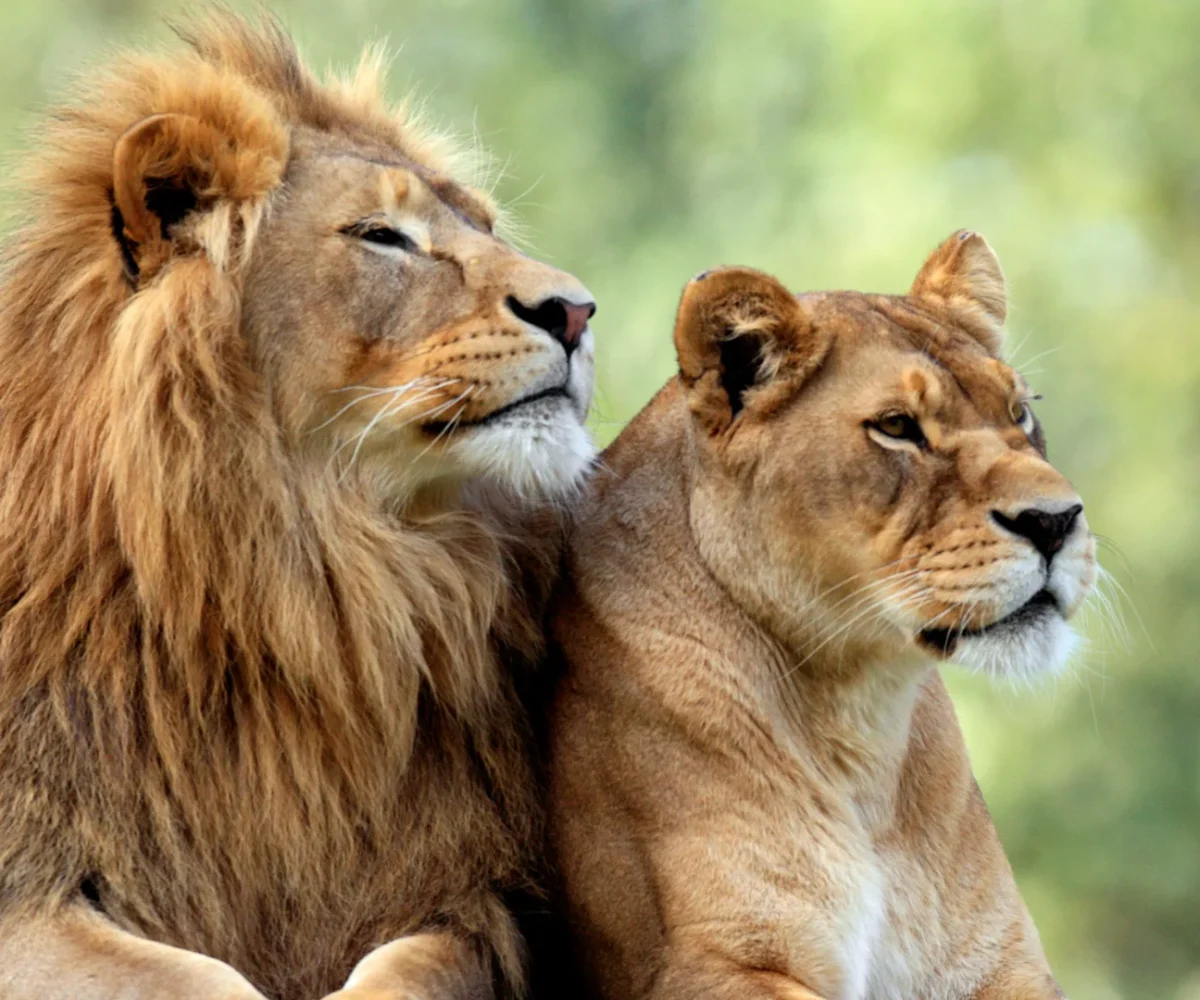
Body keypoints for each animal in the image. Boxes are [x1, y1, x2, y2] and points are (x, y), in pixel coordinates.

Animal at [0, 14, 596, 1000]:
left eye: (484, 225)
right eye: (381, 236)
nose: (579, 311)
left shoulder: (472, 900)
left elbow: (408, 970)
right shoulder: (27, 885)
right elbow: (194, 980)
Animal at [545, 233, 1095, 999]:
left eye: (1019, 412)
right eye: (896, 427)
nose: (1056, 521)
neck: (861, 723)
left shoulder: (999, 963)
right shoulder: (704, 965)